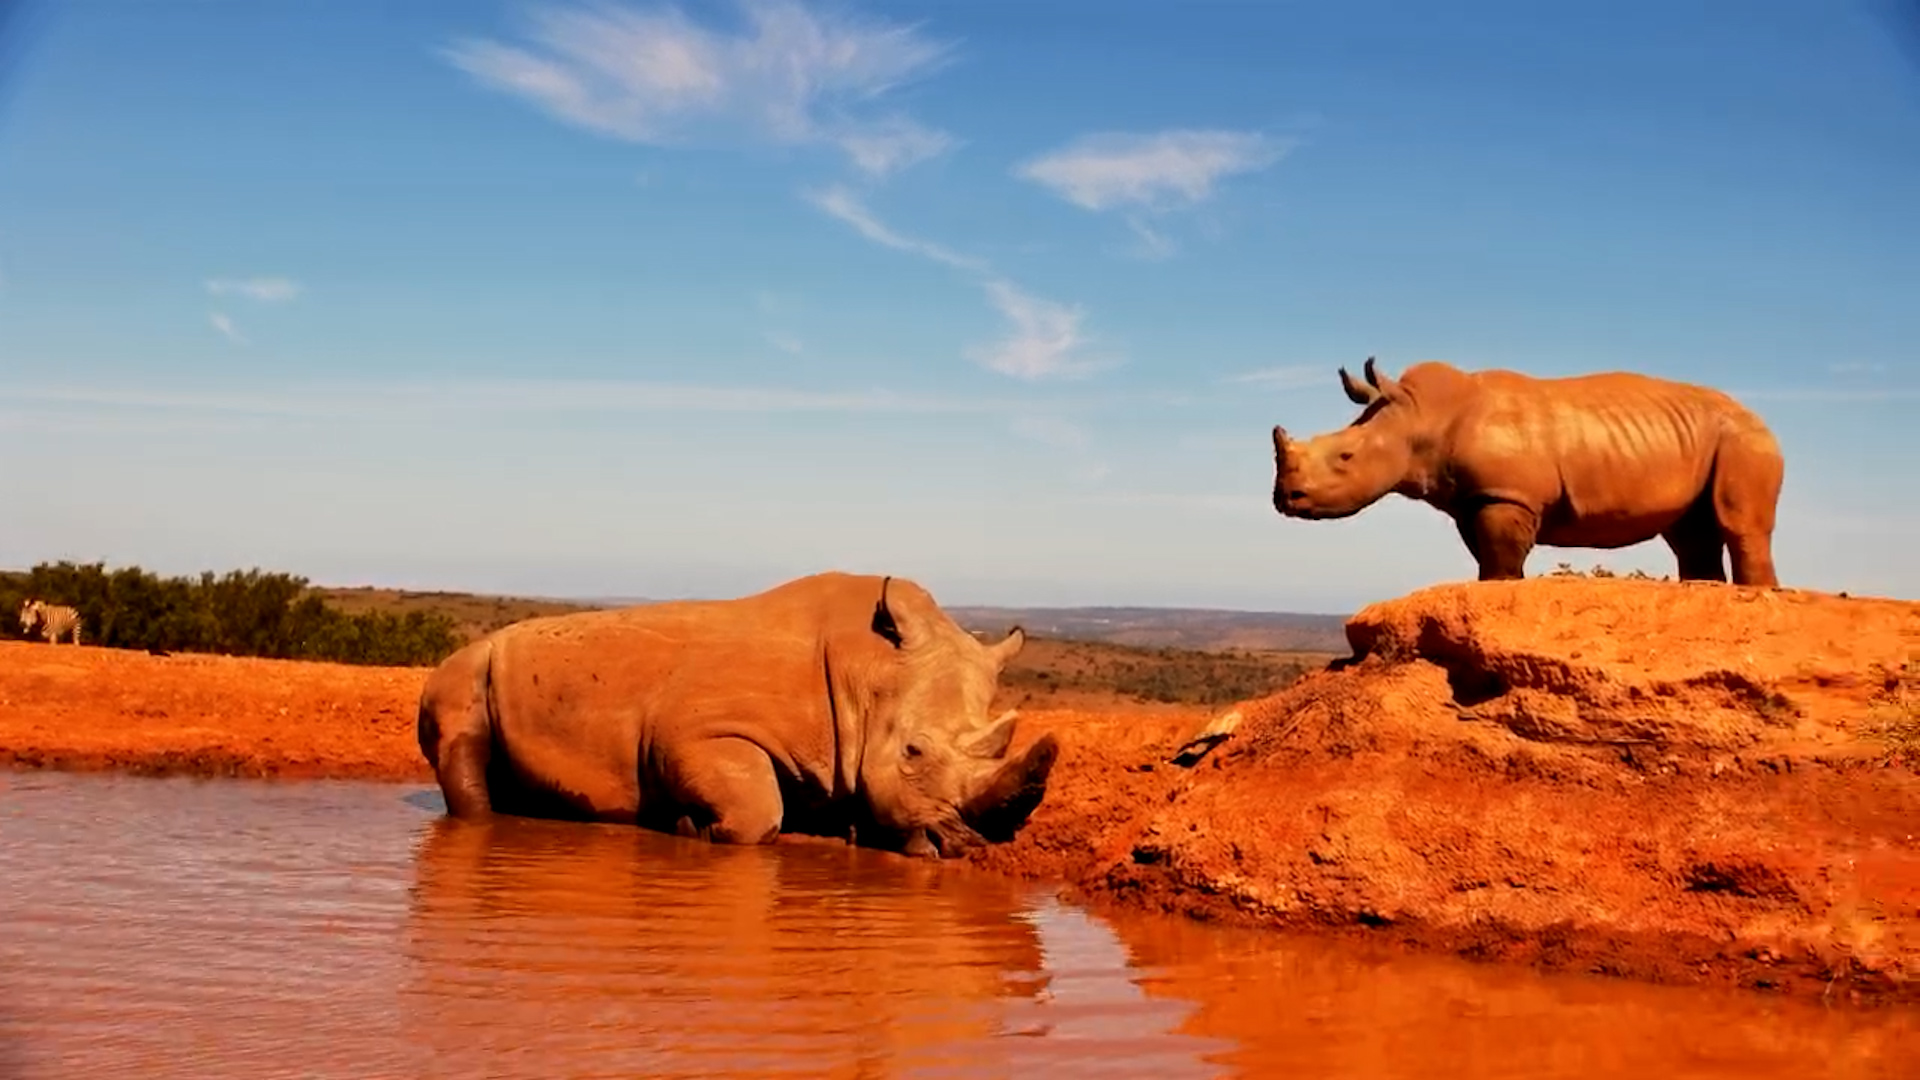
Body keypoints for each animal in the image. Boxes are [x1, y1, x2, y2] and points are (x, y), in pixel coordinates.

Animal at [416, 571, 1059, 858]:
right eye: (913, 752)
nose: (976, 843)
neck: (867, 671)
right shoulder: (696, 731)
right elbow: (756, 812)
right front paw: (689, 825)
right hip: (464, 665)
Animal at [1270, 358, 1784, 586]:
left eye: (1345, 458)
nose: (1284, 499)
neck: (1419, 418)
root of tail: (1757, 415)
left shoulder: (1507, 493)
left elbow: (1500, 558)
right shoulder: (1474, 498)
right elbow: (1489, 557)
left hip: (1743, 439)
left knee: (1739, 525)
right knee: (1689, 533)